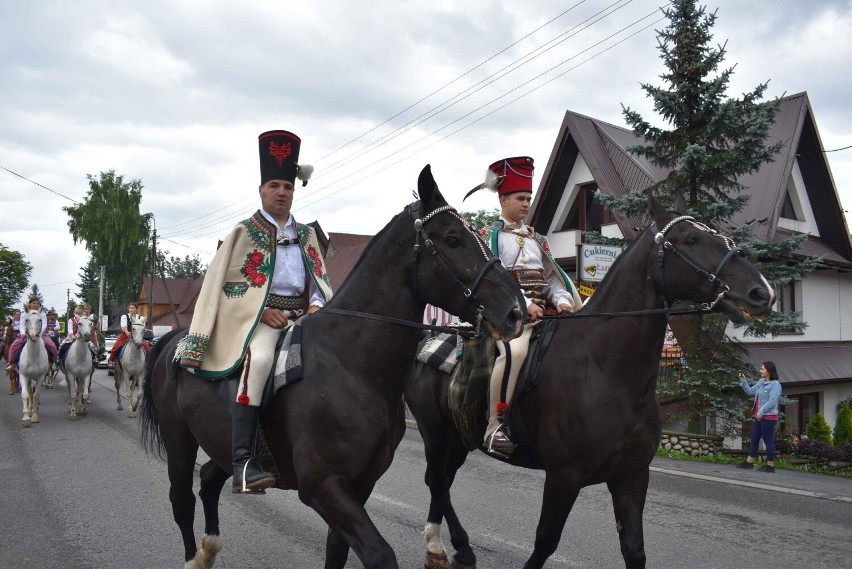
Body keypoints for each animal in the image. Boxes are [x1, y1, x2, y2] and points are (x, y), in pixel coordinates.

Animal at [140, 165, 524, 568]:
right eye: (452, 239)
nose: (516, 311)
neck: (353, 366)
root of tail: (176, 340)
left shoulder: (359, 486)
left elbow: (337, 550)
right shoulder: (324, 487)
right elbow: (380, 554)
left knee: (211, 479)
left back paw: (209, 546)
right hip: (178, 440)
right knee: (182, 499)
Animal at [406, 193, 780, 564]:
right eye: (691, 239)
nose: (762, 293)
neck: (609, 372)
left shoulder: (631, 476)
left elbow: (634, 548)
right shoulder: (564, 477)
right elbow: (545, 542)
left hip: (459, 437)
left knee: (441, 481)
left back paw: (451, 545)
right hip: (435, 434)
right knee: (436, 480)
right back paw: (447, 545)